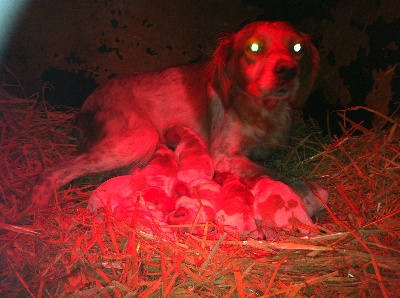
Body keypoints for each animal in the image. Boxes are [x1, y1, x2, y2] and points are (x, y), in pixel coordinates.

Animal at [31, 21, 318, 207]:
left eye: (298, 48)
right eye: (255, 47)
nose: (287, 70)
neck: (263, 111)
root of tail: (87, 103)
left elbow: (272, 165)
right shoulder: (224, 156)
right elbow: (277, 174)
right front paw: (309, 192)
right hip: (138, 137)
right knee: (52, 171)